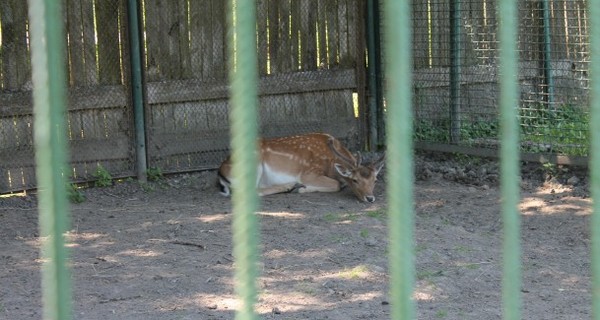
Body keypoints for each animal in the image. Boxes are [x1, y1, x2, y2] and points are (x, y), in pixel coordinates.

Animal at [216, 132, 384, 202]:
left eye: (375, 180)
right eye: (355, 180)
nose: (370, 198)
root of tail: (221, 173)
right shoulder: (309, 173)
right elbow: (336, 184)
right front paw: (302, 188)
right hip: (253, 164)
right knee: (252, 191)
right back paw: (291, 186)